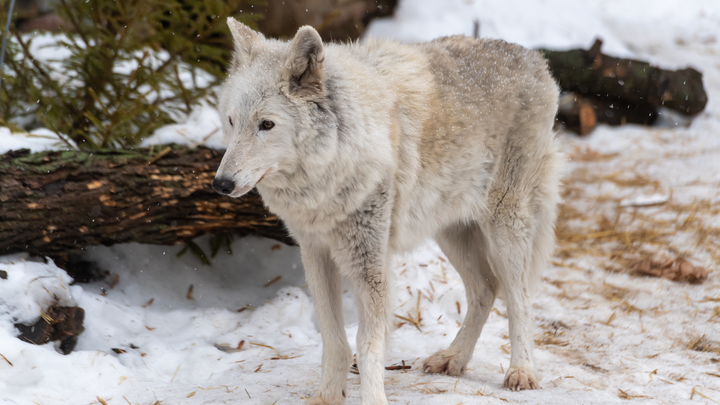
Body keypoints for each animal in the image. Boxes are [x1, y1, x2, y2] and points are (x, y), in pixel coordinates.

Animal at [214, 18, 564, 404]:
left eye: (266, 124)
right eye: (231, 121)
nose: (221, 184)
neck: (331, 169)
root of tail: (535, 59)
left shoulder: (370, 263)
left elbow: (367, 344)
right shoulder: (315, 252)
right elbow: (333, 339)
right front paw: (328, 397)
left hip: (505, 227)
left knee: (519, 297)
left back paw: (522, 371)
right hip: (450, 231)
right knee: (486, 289)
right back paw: (454, 358)